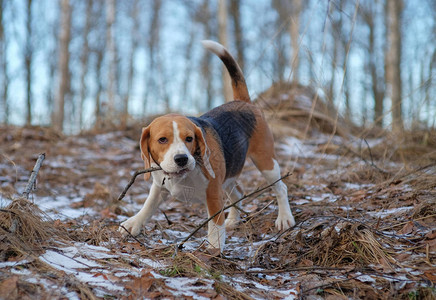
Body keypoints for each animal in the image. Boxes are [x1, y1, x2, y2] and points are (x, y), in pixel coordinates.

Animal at [120, 40, 296, 251]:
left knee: (281, 188)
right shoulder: (159, 185)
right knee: (238, 192)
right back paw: (234, 220)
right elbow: (148, 206)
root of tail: (243, 102)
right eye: (162, 139)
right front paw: (133, 223)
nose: (181, 159)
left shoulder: (213, 192)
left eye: (189, 138)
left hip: (265, 161)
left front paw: (214, 248)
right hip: (229, 175)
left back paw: (285, 218)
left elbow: (215, 223)